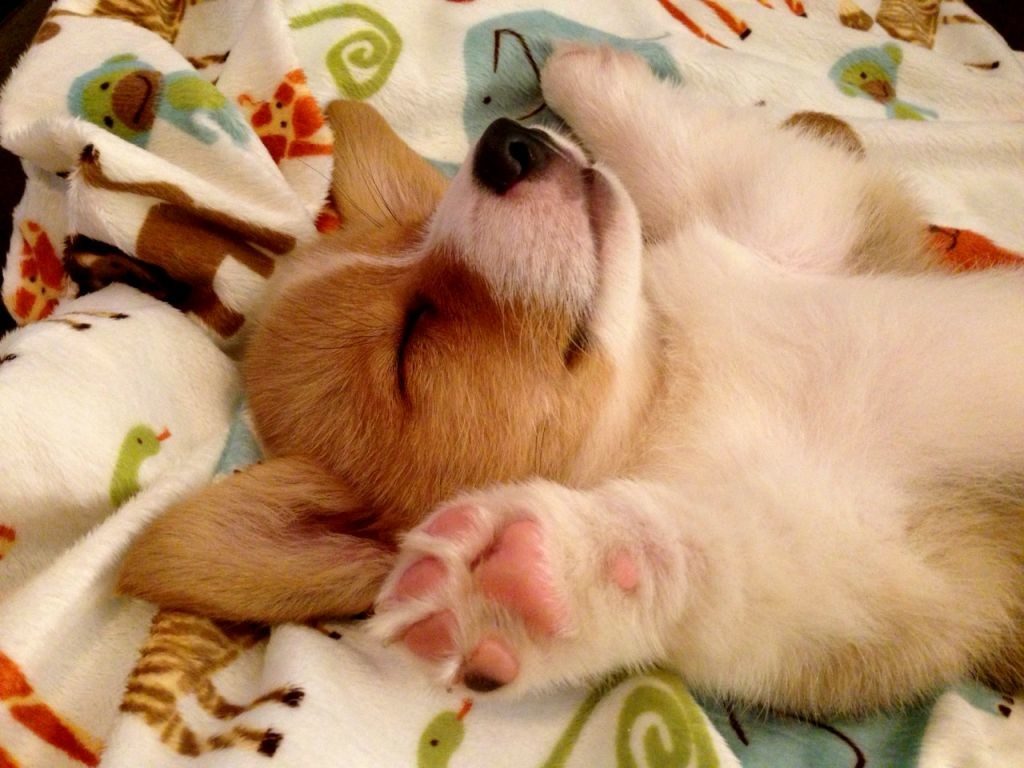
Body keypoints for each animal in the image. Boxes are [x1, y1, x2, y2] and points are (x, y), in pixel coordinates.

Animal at [119, 43, 1024, 717]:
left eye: (424, 224)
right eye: (411, 343)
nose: (504, 145)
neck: (671, 378)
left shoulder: (803, 225)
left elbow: (693, 166)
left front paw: (582, 73)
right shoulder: (883, 571)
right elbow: (693, 554)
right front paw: (529, 576)